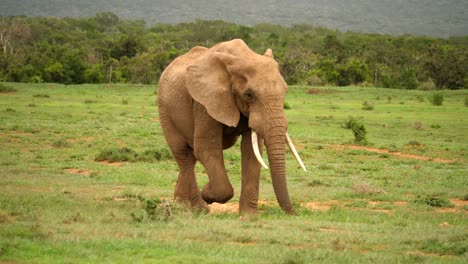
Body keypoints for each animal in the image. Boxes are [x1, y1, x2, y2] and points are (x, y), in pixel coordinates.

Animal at [157, 38, 308, 214]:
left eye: (285, 92)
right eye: (249, 95)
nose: (294, 214)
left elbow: (251, 151)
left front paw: (249, 216)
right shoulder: (205, 102)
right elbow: (207, 148)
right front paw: (207, 193)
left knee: (190, 156)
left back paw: (181, 205)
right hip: (165, 109)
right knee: (183, 154)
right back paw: (199, 208)